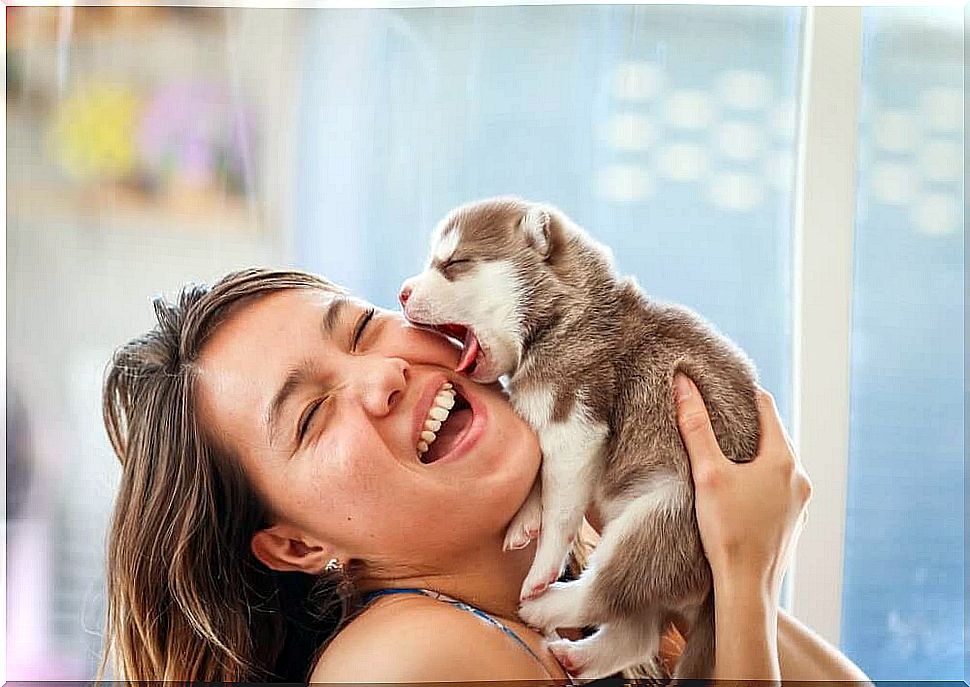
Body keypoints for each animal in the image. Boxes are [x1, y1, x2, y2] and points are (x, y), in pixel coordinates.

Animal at [398, 196, 760, 680]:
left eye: (454, 263)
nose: (401, 292)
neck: (563, 317)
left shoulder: (576, 425)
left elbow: (561, 511)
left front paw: (541, 560)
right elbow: (538, 474)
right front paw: (524, 517)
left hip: (666, 515)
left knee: (612, 586)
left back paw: (544, 606)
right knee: (637, 629)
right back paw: (577, 655)